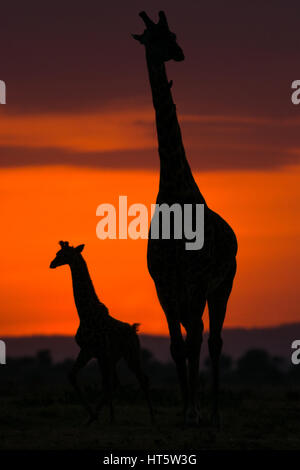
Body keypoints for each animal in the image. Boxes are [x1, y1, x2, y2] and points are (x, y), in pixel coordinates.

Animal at [49, 241, 154, 424]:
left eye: (63, 254)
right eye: (57, 253)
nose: (52, 264)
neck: (85, 313)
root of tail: (134, 330)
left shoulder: (93, 350)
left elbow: (91, 381)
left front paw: (95, 416)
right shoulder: (93, 352)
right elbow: (73, 376)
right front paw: (93, 417)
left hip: (131, 354)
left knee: (142, 378)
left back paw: (152, 418)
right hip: (114, 357)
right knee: (115, 383)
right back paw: (106, 418)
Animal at [132, 10, 238, 426]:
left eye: (173, 33)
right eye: (155, 38)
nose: (179, 53)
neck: (175, 191)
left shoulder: (196, 282)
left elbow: (193, 342)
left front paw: (193, 411)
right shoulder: (164, 285)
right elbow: (177, 347)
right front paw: (181, 409)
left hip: (223, 285)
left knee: (213, 340)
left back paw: (214, 412)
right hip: (192, 293)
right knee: (198, 336)